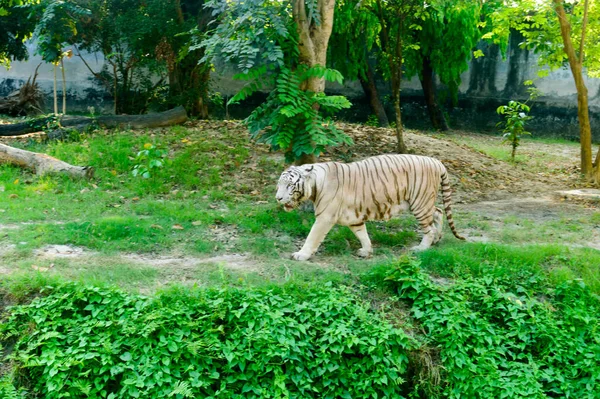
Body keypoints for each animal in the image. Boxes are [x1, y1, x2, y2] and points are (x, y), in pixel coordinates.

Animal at [274, 154, 466, 262]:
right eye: (279, 185)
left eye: (290, 185)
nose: (278, 198)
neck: (315, 184)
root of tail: (436, 162)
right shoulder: (353, 218)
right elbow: (362, 234)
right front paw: (366, 251)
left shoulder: (324, 217)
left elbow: (312, 237)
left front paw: (301, 255)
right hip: (422, 202)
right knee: (438, 212)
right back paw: (437, 239)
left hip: (419, 201)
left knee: (429, 227)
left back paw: (422, 247)